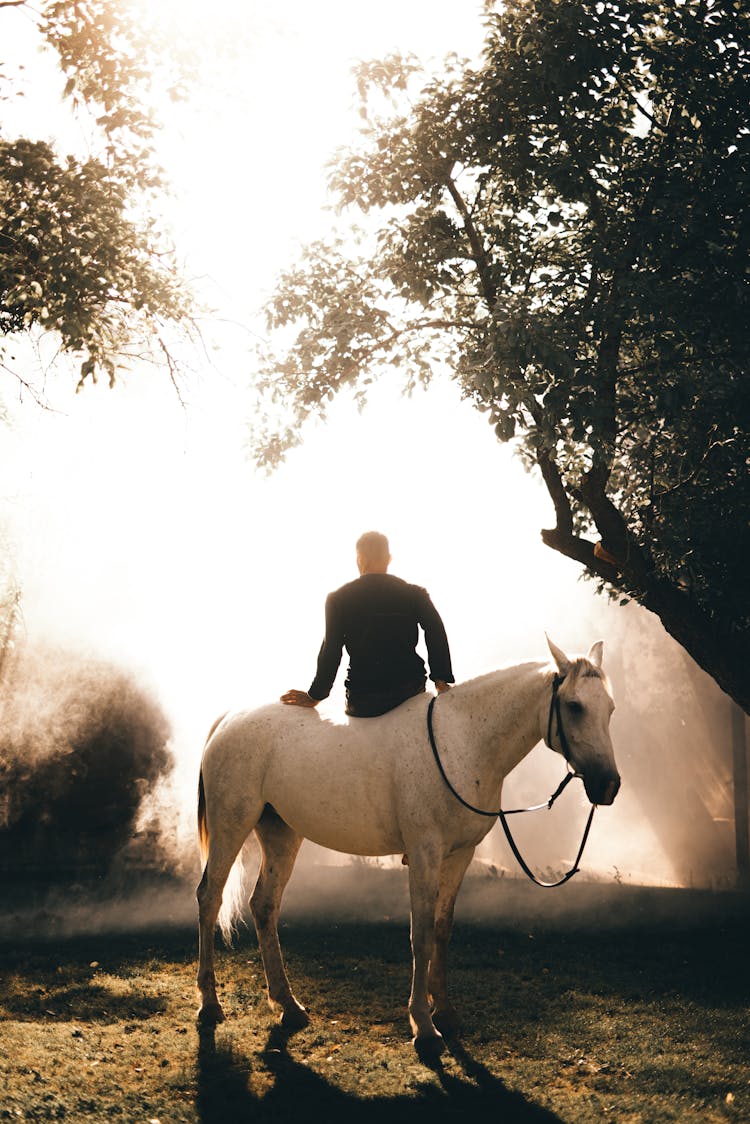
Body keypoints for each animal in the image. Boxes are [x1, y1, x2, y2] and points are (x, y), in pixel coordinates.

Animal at [196, 642, 620, 1052]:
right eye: (574, 706)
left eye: (610, 708)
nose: (608, 785)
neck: (462, 742)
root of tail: (231, 718)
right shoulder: (424, 854)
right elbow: (421, 935)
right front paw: (424, 1026)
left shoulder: (459, 856)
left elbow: (442, 929)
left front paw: (445, 1012)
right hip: (231, 825)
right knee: (210, 897)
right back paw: (210, 1004)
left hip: (281, 833)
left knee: (264, 905)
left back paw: (288, 1005)